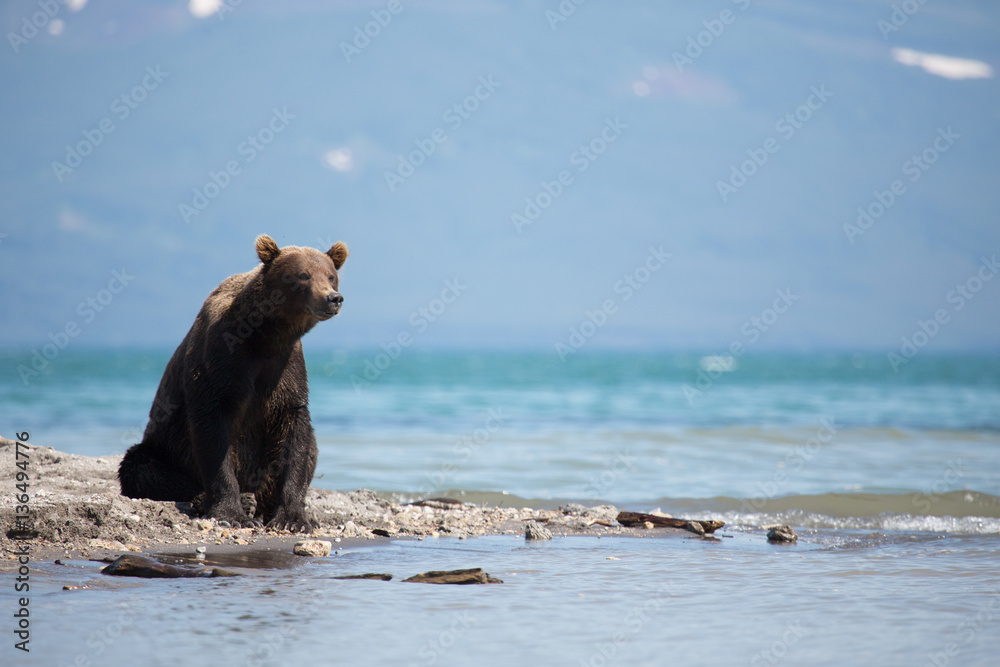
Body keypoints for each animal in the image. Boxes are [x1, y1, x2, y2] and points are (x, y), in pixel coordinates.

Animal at [118, 234, 348, 531]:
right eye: (302, 275)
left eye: (331, 276)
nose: (333, 298)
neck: (266, 335)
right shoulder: (222, 359)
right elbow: (213, 429)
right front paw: (230, 511)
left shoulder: (287, 369)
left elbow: (296, 436)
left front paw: (293, 517)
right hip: (164, 449)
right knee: (141, 467)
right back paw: (227, 499)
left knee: (312, 449)